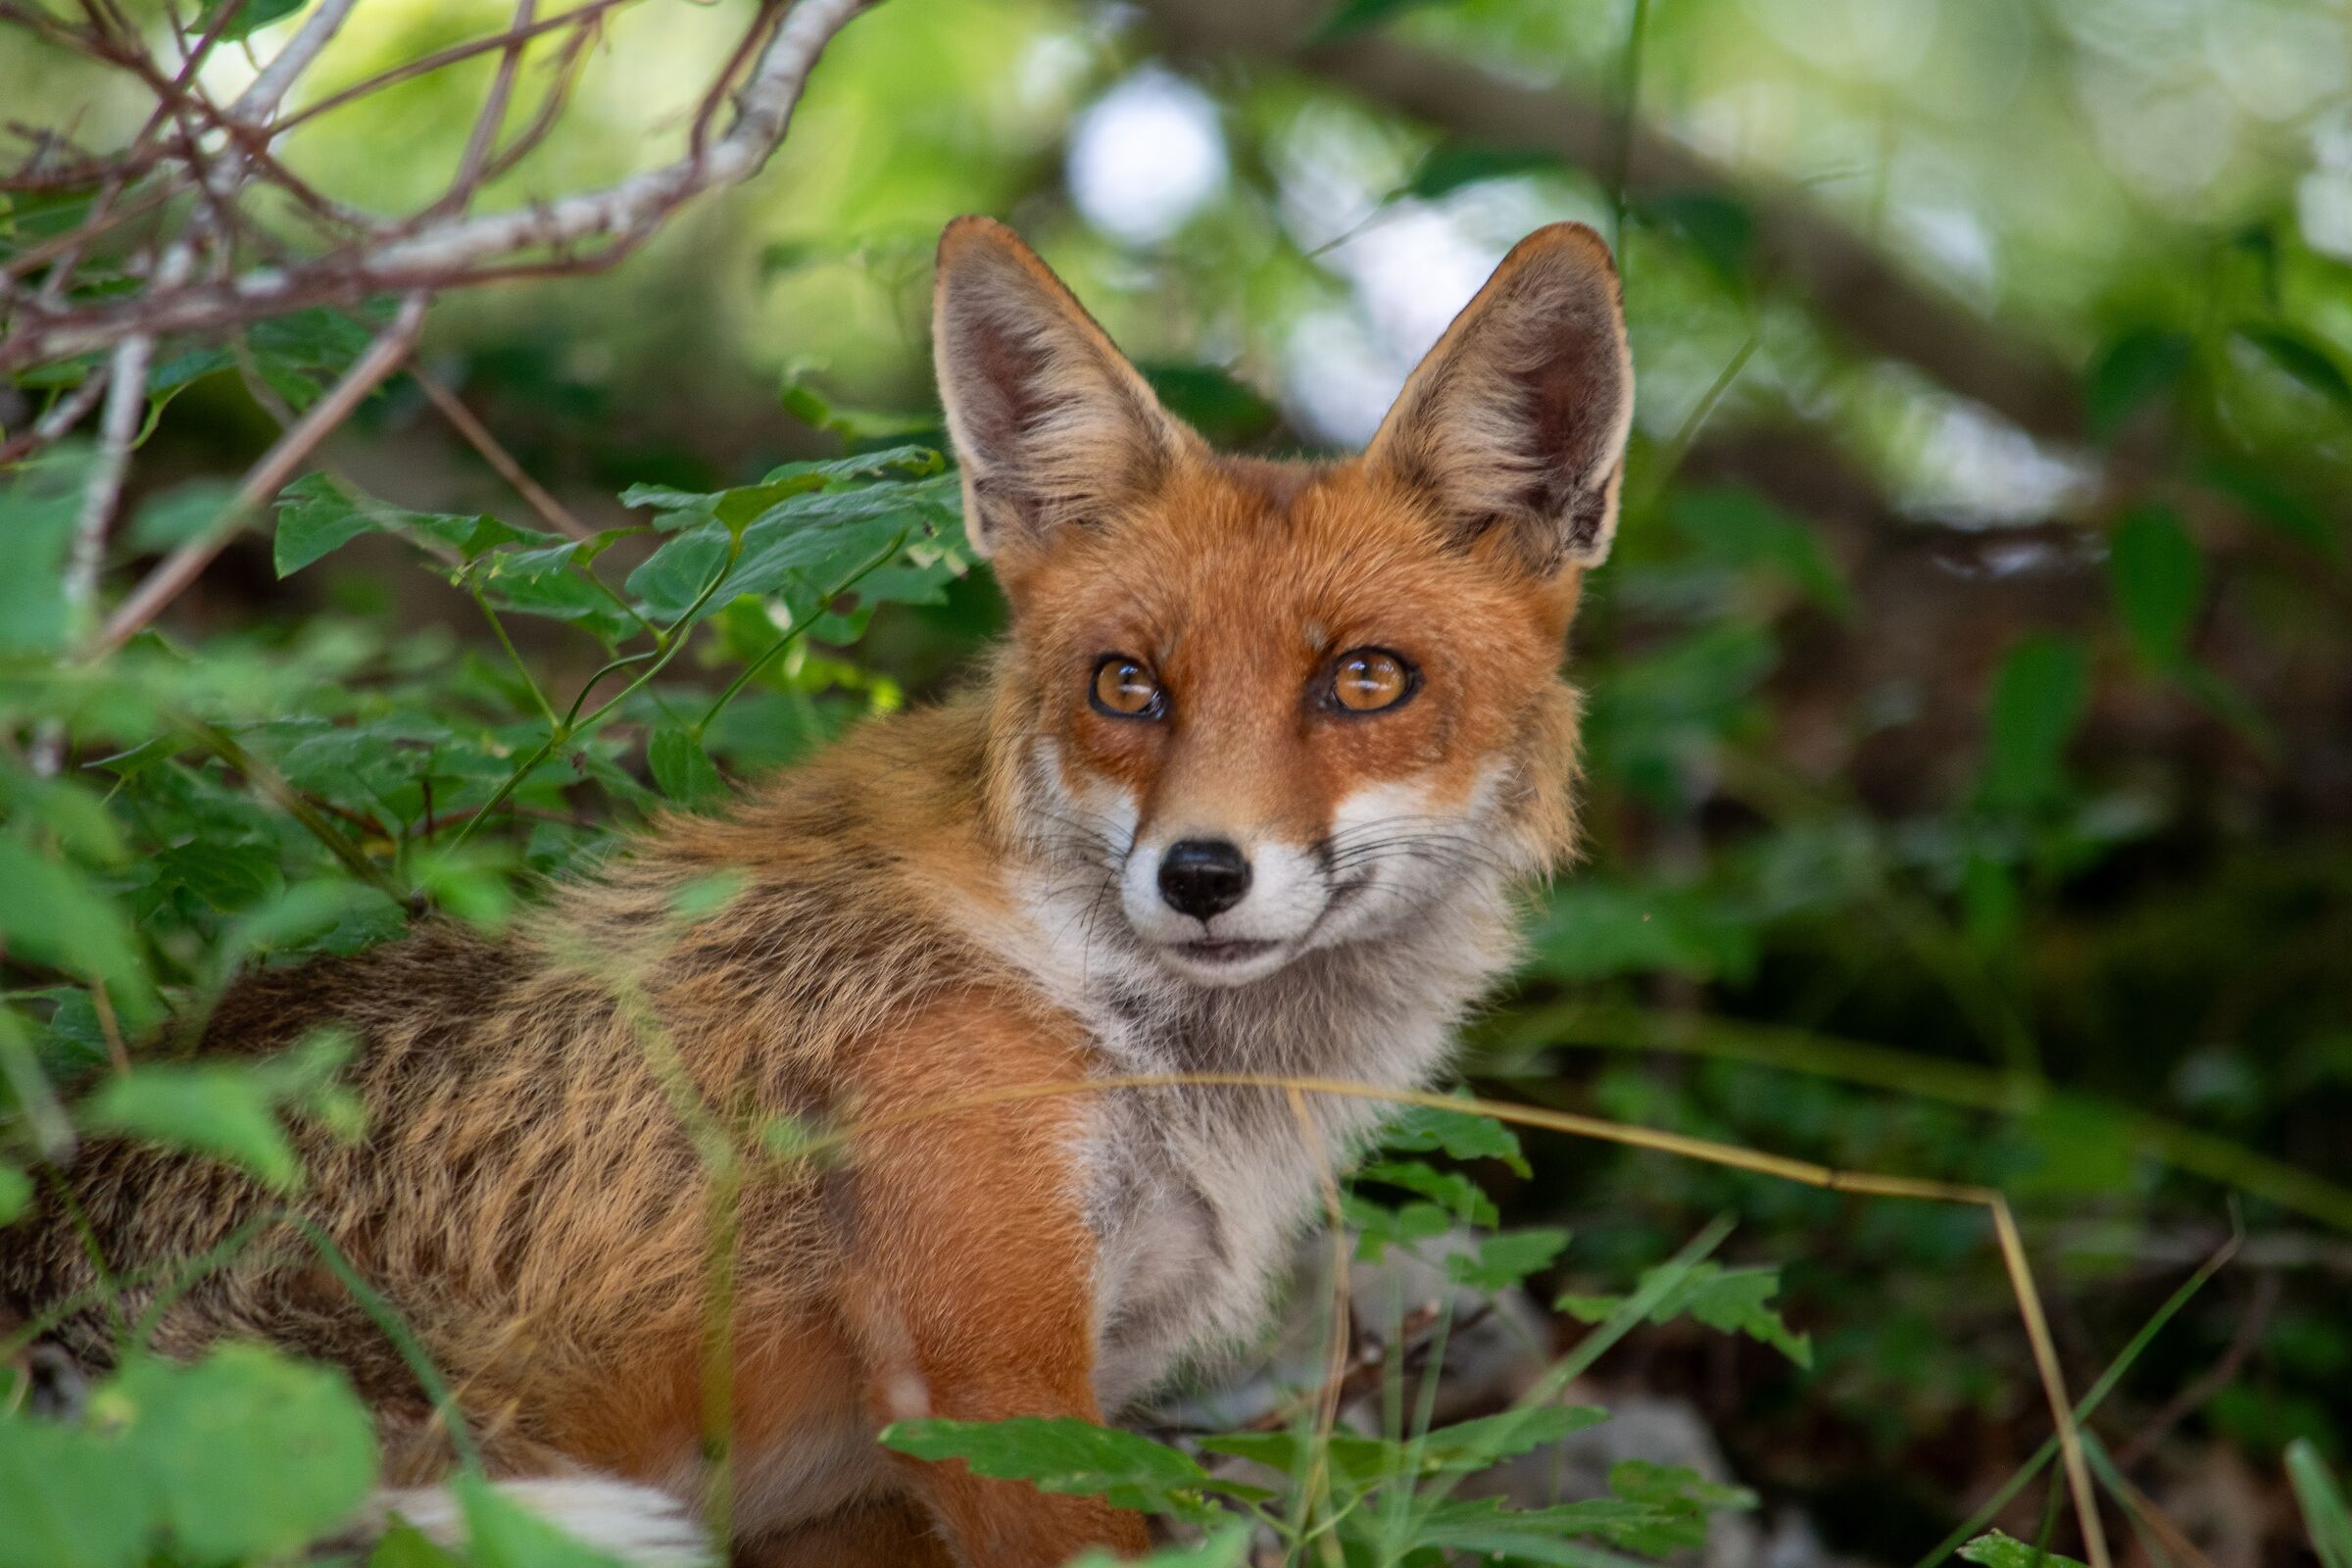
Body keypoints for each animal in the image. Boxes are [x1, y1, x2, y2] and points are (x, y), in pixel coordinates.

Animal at [2, 216, 1633, 1566]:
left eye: (1368, 681)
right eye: (1128, 686)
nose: (1203, 875)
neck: (1135, 1043)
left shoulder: (876, 1485)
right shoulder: (992, 1386)